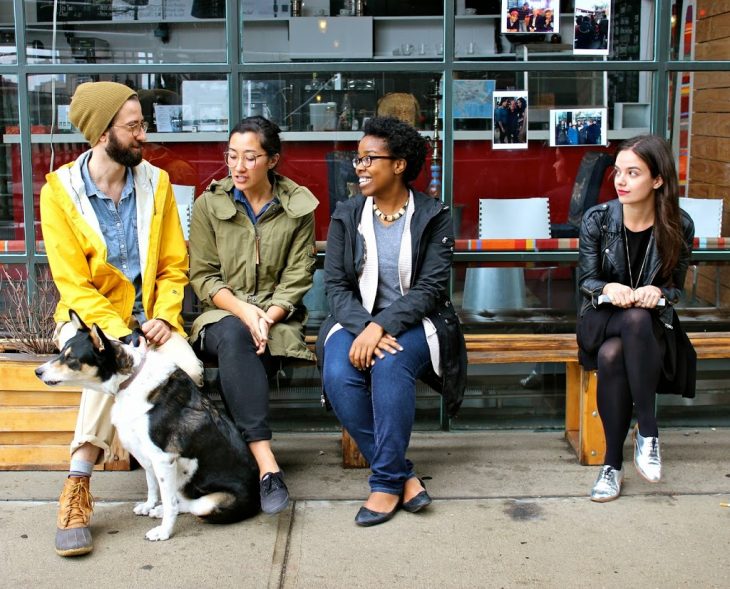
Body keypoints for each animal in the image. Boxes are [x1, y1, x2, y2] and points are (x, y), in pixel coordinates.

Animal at [36, 310, 262, 540]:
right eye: (61, 352)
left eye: (71, 358)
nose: (38, 371)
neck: (130, 379)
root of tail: (256, 500)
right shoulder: (147, 454)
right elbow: (152, 485)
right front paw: (149, 505)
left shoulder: (163, 458)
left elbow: (169, 500)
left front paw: (164, 531)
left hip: (209, 502)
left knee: (189, 505)